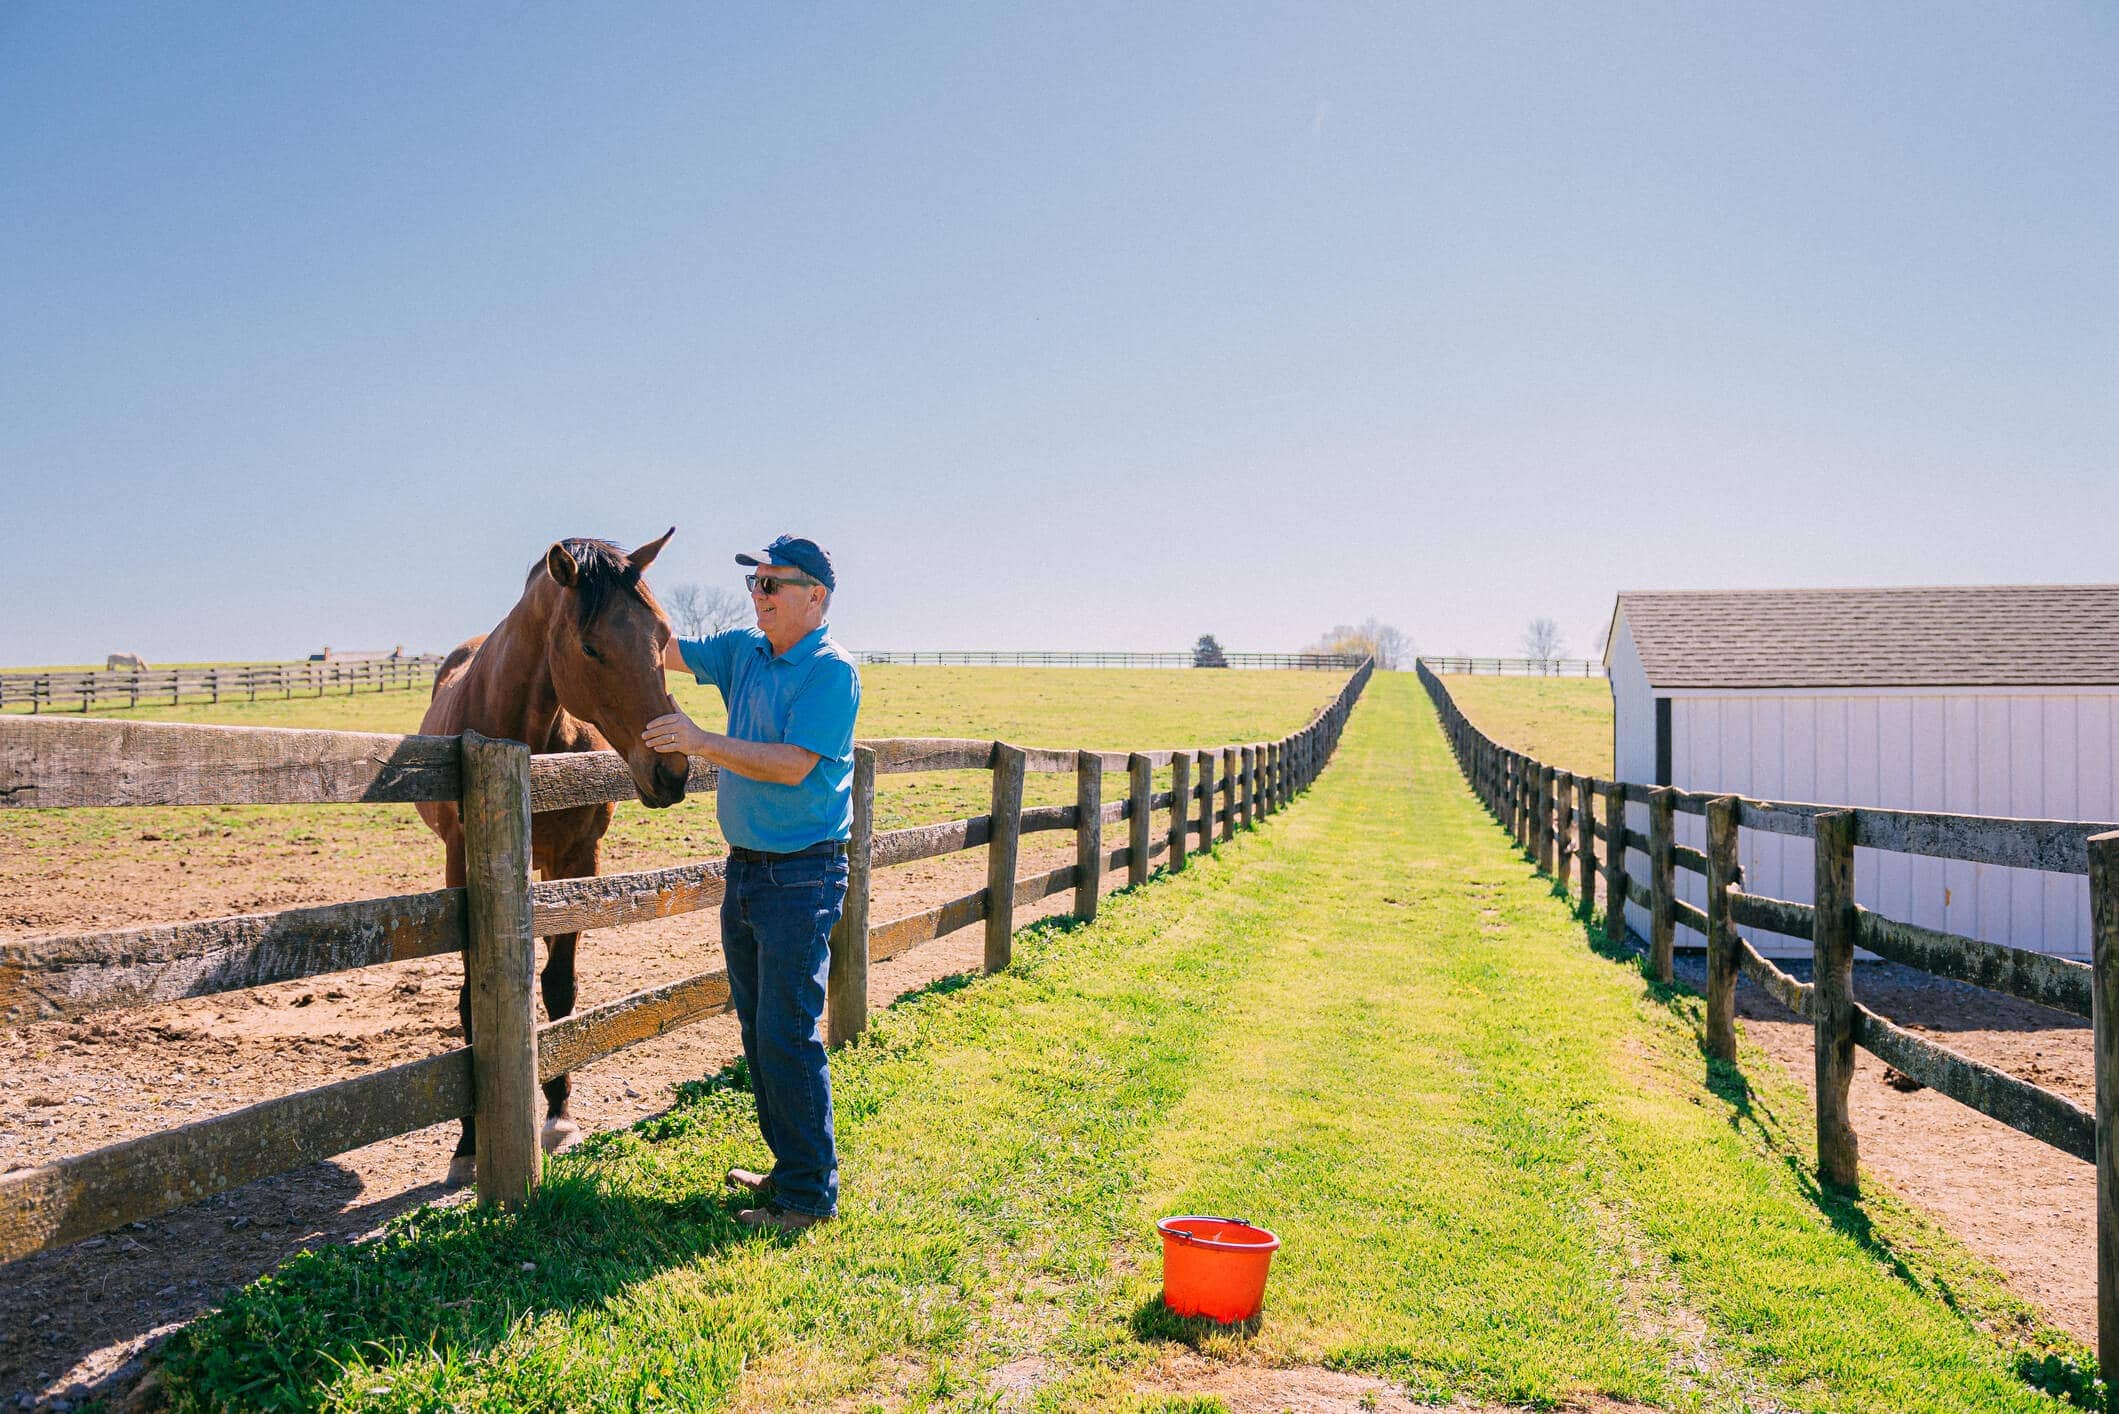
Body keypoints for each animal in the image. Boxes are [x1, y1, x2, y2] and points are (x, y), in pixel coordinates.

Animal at [416, 529, 692, 1186]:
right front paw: (468, 1144)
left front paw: (560, 1114)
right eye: (591, 647)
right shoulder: (462, 871)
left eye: (664, 637)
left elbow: (561, 989)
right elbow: (471, 1003)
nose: (670, 771)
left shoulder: (577, 861)